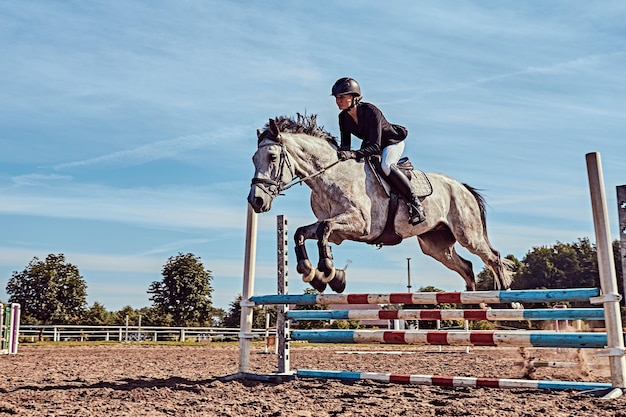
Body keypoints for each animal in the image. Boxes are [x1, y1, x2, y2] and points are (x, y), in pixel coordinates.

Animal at [247, 114, 512, 294]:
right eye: (253, 158)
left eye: (272, 157)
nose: (255, 200)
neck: (329, 177)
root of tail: (462, 187)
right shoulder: (337, 232)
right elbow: (303, 232)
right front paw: (313, 272)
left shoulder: (362, 226)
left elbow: (324, 230)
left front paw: (329, 271)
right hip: (435, 245)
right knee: (466, 266)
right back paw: (476, 307)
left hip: (468, 234)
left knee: (493, 258)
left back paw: (508, 301)